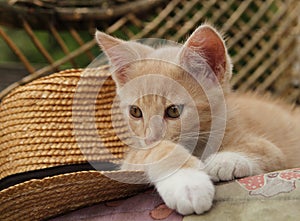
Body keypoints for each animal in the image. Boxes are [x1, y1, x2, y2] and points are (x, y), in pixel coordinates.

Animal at [95, 25, 300, 215]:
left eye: (174, 111)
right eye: (135, 112)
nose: (151, 138)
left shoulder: (276, 152)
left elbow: (262, 148)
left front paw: (225, 160)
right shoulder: (130, 162)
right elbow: (153, 152)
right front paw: (188, 183)